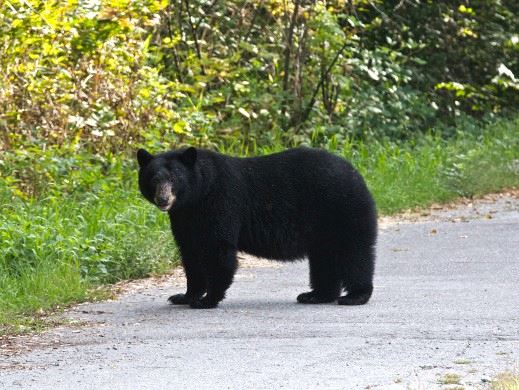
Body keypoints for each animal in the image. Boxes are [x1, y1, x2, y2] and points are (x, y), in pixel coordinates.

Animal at [136, 146, 376, 308]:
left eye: (174, 178)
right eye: (153, 178)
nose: (163, 199)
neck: (199, 195)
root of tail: (356, 173)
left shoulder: (220, 203)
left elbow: (218, 250)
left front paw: (208, 299)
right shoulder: (184, 218)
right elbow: (190, 254)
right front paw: (183, 296)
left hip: (342, 209)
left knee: (355, 253)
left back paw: (354, 296)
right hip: (324, 225)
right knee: (324, 258)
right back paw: (316, 295)